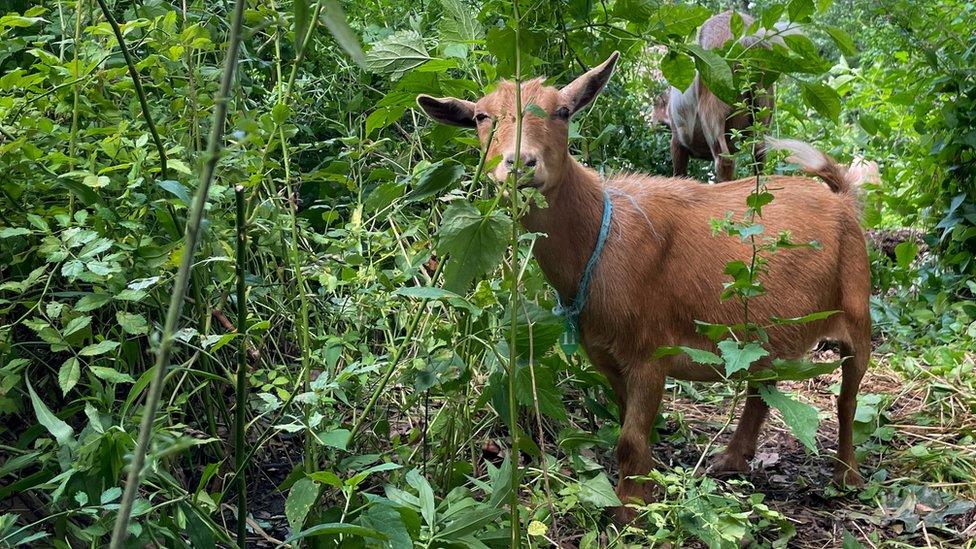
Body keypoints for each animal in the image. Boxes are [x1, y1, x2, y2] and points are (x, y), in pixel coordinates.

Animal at [416, 53, 872, 520]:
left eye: (563, 111)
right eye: (481, 117)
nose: (520, 164)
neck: (601, 233)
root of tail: (841, 199)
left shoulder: (651, 352)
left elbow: (629, 439)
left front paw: (629, 513)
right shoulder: (607, 356)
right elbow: (631, 432)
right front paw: (642, 493)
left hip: (856, 308)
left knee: (847, 400)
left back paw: (846, 477)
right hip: (763, 332)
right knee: (762, 385)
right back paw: (731, 459)